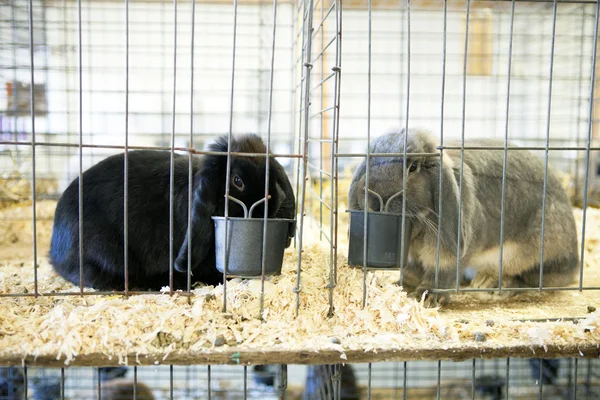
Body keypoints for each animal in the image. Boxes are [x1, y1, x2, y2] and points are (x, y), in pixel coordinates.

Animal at [346, 128, 580, 306]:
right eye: (370, 161)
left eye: (413, 167)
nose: (377, 200)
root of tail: (574, 262)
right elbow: (412, 270)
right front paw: (402, 285)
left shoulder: (446, 249)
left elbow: (442, 271)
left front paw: (428, 296)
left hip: (531, 250)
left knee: (530, 280)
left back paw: (489, 284)